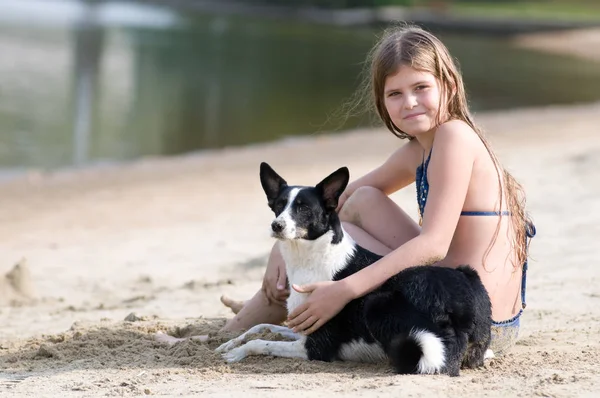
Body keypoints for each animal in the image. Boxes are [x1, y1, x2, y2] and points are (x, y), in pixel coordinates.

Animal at [217, 162, 492, 376]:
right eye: (279, 205)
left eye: (303, 208)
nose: (276, 226)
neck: (310, 258)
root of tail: (462, 307)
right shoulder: (301, 327)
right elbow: (259, 327)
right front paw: (228, 345)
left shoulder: (314, 347)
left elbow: (260, 342)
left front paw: (237, 353)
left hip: (376, 305)